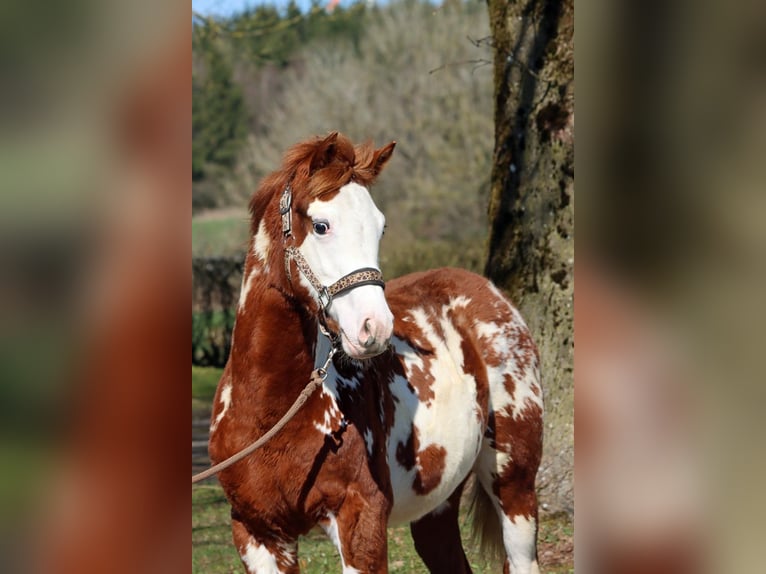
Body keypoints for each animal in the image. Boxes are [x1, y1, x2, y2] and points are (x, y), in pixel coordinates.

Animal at [208, 132, 543, 574]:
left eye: (380, 227)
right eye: (321, 226)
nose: (374, 328)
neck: (270, 413)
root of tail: (490, 293)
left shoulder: (360, 520)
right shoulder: (258, 534)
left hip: (514, 483)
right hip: (436, 505)